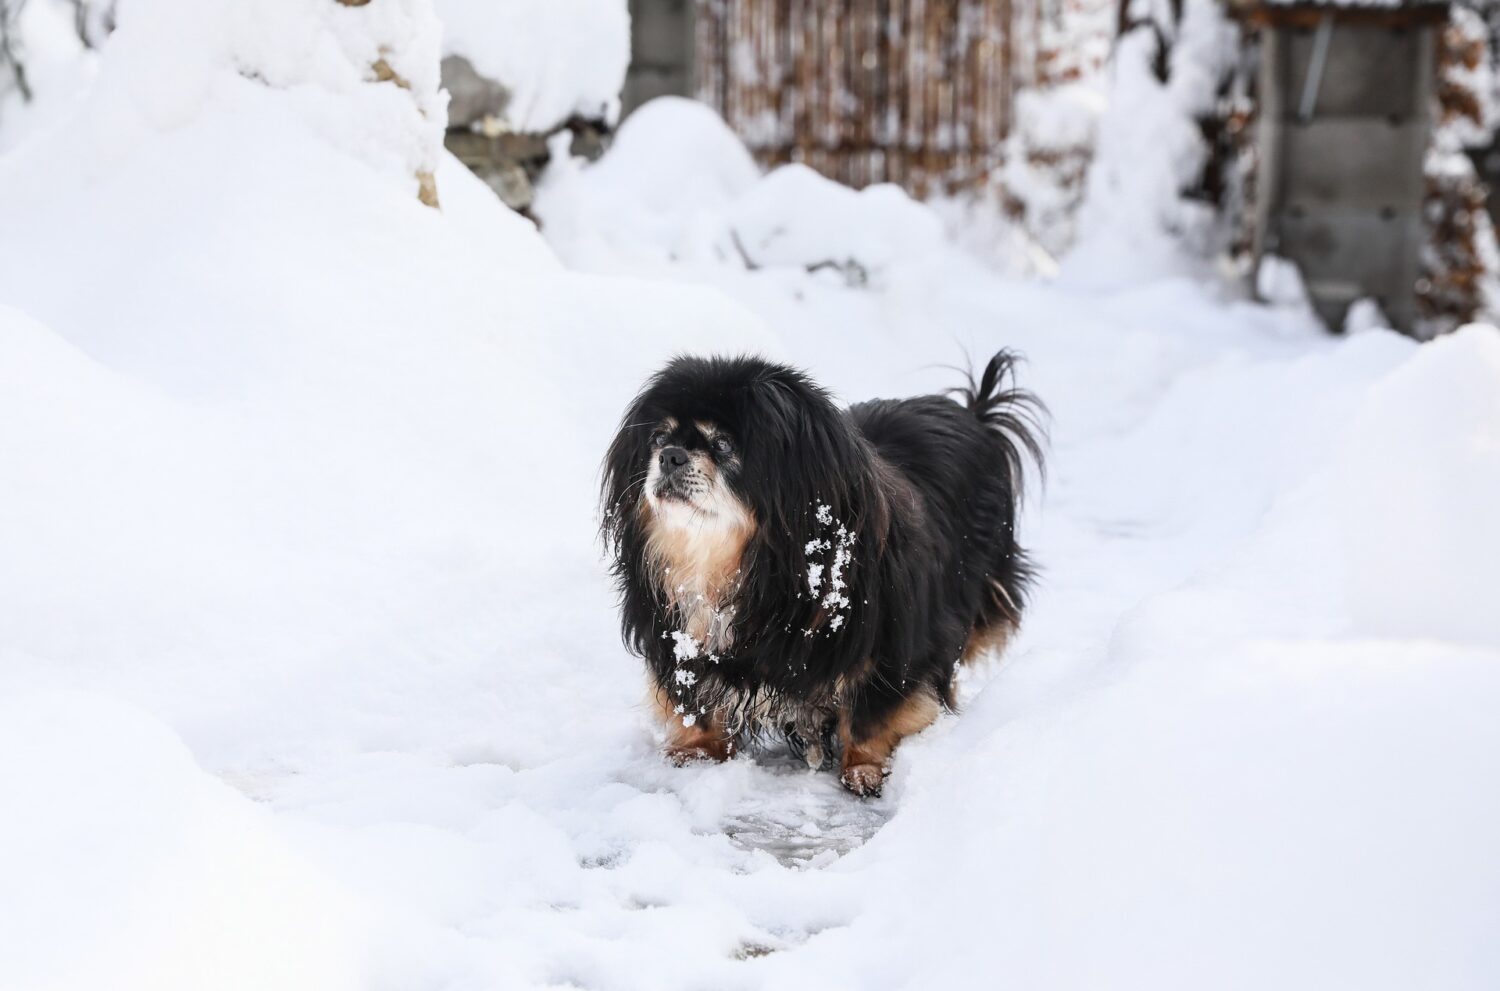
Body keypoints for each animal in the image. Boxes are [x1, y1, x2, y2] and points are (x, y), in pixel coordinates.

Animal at [597, 352, 1044, 791]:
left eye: (722, 444)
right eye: (659, 438)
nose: (670, 456)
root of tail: (974, 414)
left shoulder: (890, 649)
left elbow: (870, 718)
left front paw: (863, 769)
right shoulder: (679, 638)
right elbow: (695, 704)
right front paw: (697, 752)